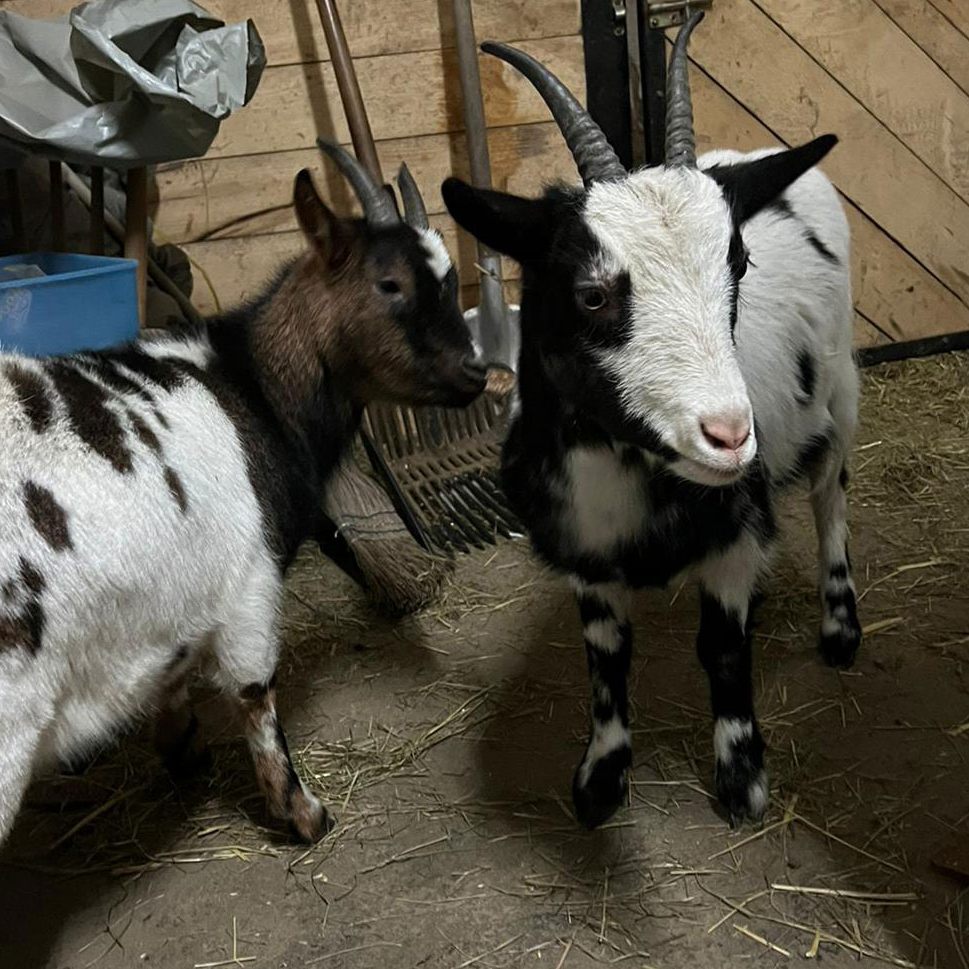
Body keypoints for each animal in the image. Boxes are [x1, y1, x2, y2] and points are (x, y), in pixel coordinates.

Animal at [0, 142, 485, 846]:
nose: (476, 372)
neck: (252, 385)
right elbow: (256, 692)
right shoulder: (248, 582)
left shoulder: (179, 594)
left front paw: (182, 750)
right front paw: (303, 812)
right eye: (389, 283)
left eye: (448, 280)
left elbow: (174, 675)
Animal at [443, 13, 861, 828]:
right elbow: (607, 657)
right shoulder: (585, 554)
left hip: (840, 389)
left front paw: (741, 779)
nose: (729, 436)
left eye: (738, 264)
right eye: (592, 293)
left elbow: (722, 648)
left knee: (830, 493)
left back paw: (840, 627)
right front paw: (600, 777)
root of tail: (759, 160)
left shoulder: (734, 534)